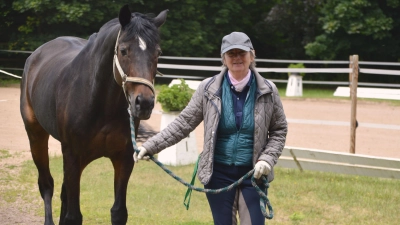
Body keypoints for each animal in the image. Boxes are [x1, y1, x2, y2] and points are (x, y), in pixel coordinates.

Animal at [19, 5, 167, 225]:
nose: (145, 103)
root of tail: (35, 55)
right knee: (47, 185)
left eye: (158, 53)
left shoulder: (124, 158)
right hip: (36, 136)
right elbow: (74, 215)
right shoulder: (72, 155)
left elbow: (118, 212)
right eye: (123, 50)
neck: (100, 103)